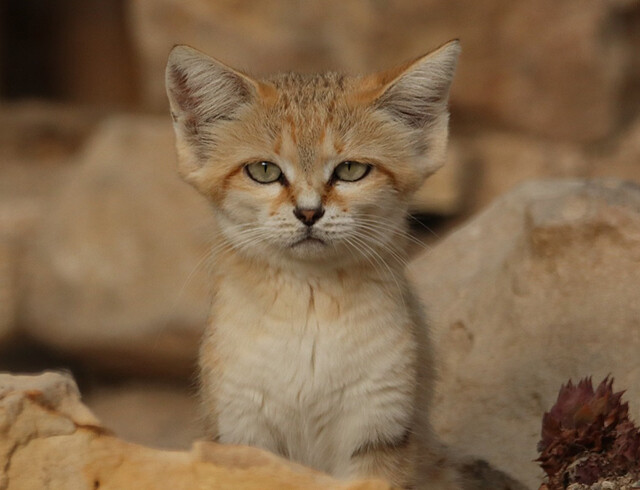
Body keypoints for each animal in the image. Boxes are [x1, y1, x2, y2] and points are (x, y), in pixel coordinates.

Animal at [166, 40, 460, 488]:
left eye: (351, 170)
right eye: (264, 170)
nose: (308, 212)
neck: (308, 310)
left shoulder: (379, 426)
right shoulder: (242, 429)